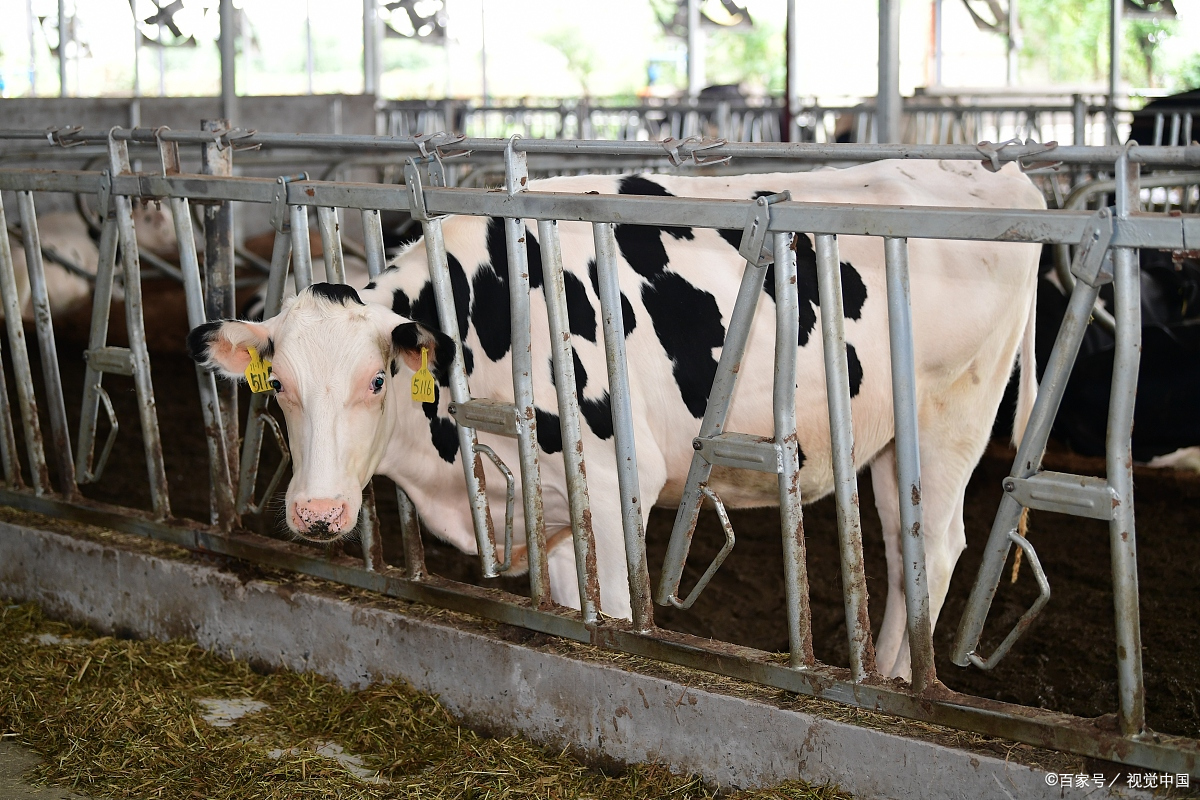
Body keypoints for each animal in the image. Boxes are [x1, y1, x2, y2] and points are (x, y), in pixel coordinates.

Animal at [189, 158, 1041, 681]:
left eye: (376, 379)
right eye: (279, 387)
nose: (317, 512)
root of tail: (990, 174)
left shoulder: (607, 485)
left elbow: (619, 621)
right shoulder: (550, 510)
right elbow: (574, 610)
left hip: (952, 418)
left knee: (932, 546)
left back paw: (896, 678)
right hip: (894, 438)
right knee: (906, 549)